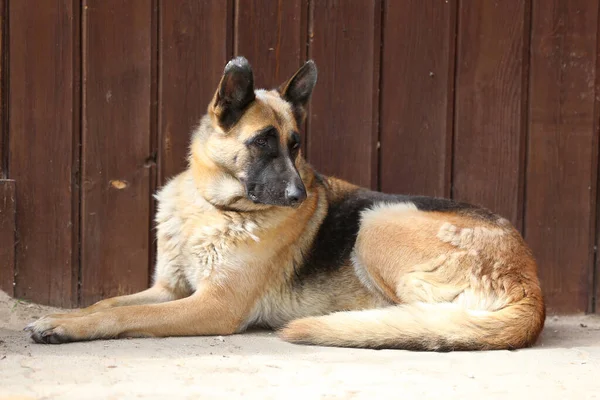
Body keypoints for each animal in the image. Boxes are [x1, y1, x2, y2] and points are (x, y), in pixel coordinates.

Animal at [25, 56, 548, 350]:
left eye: (295, 145)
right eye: (263, 143)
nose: (299, 197)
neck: (215, 207)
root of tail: (531, 287)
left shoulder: (212, 305)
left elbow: (123, 314)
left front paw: (70, 326)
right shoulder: (170, 290)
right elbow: (106, 301)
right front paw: (62, 319)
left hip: (378, 221)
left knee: (428, 318)